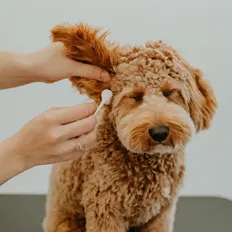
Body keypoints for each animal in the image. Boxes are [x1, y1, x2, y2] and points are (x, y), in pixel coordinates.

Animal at [43, 23, 218, 232]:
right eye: (135, 96)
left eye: (170, 92)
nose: (159, 132)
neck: (148, 162)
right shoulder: (105, 208)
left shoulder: (161, 214)